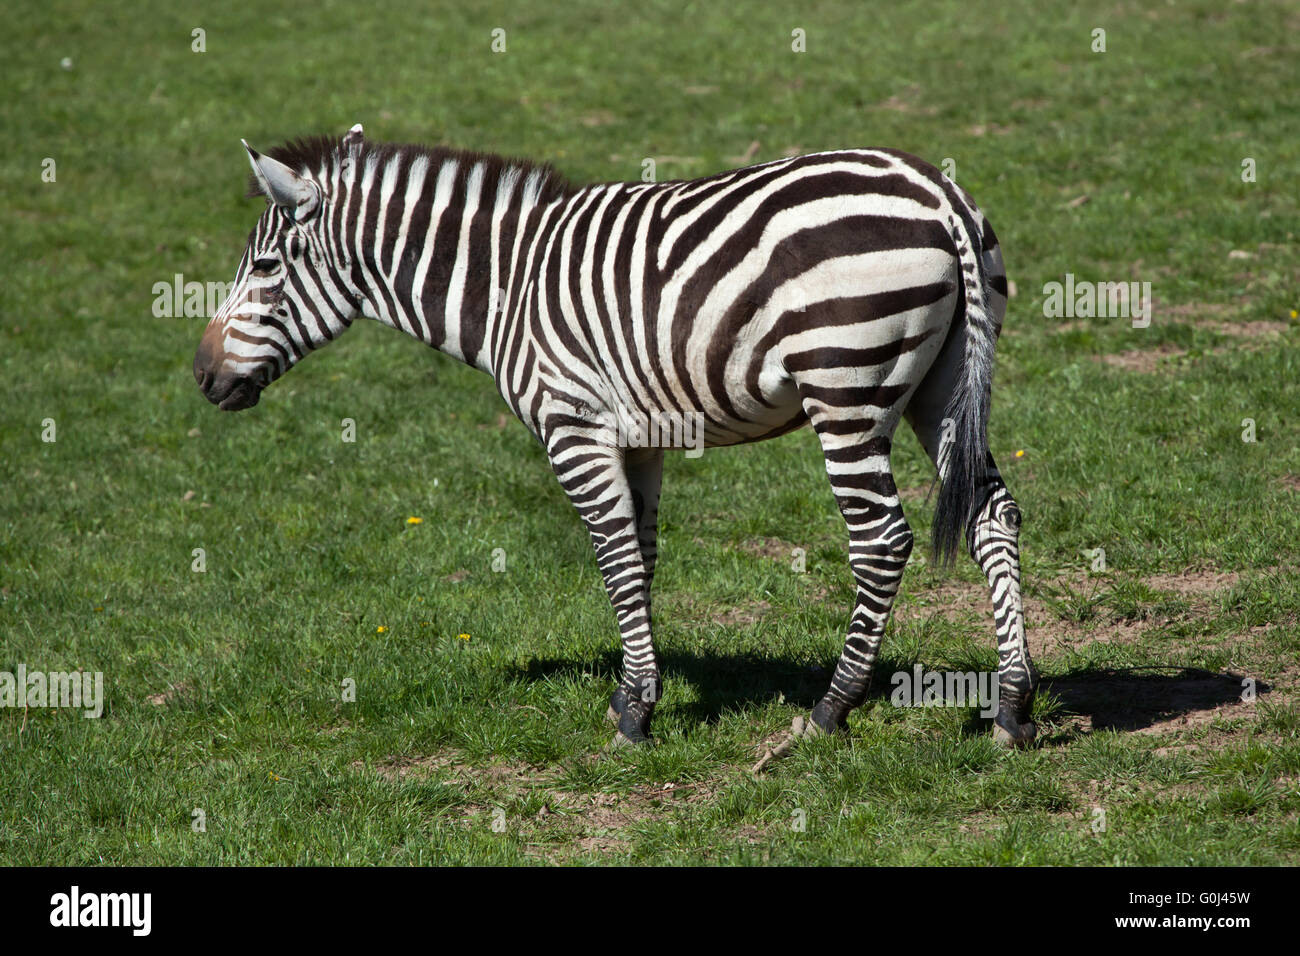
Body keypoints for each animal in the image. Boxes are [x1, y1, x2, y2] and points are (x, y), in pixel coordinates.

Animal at [192, 121, 1040, 764]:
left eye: (263, 266)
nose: (202, 376)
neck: (508, 285)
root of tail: (938, 192)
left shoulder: (575, 426)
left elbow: (616, 560)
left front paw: (635, 718)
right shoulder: (641, 438)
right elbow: (645, 555)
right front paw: (637, 689)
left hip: (846, 389)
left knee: (881, 540)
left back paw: (830, 711)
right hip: (943, 389)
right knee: (993, 515)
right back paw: (1013, 707)